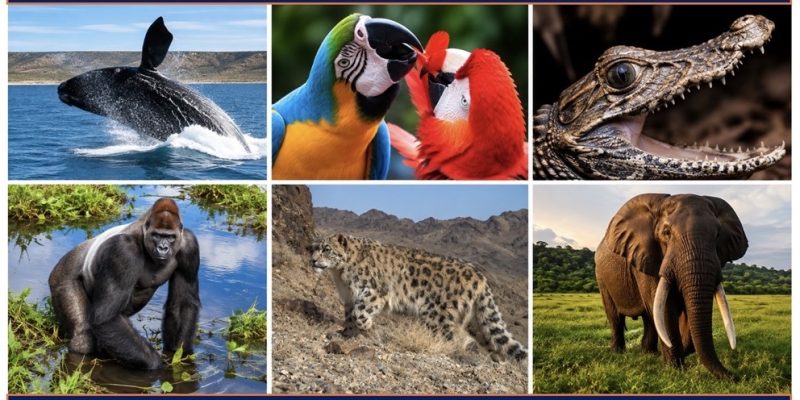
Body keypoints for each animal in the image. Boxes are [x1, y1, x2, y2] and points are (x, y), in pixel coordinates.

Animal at [310, 233, 527, 362]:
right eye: (313, 247)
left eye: (326, 249)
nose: (312, 260)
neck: (340, 274)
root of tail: (480, 276)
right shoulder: (349, 297)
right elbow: (350, 317)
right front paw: (345, 334)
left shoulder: (375, 292)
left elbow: (360, 314)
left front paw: (370, 330)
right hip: (476, 319)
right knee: (489, 339)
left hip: (436, 314)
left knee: (452, 336)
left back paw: (445, 350)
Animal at [595, 193, 746, 379]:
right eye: (666, 233)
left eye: (718, 235)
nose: (736, 377)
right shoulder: (647, 256)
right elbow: (665, 308)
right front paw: (675, 369)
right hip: (601, 276)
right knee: (615, 316)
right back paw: (618, 352)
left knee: (649, 317)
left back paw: (649, 353)